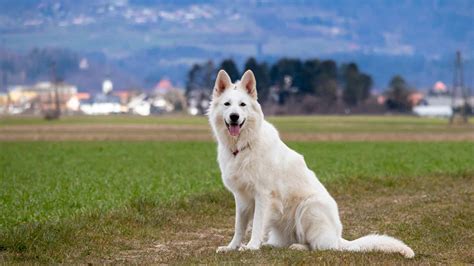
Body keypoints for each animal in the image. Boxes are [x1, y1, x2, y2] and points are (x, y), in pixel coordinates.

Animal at [208, 69, 414, 258]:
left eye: (242, 105)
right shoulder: (241, 198)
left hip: (309, 208)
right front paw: (232, 247)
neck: (243, 147)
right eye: (227, 104)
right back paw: (270, 245)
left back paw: (298, 247)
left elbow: (257, 225)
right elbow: (239, 227)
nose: (234, 116)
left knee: (321, 246)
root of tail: (338, 237)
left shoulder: (263, 195)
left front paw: (251, 246)